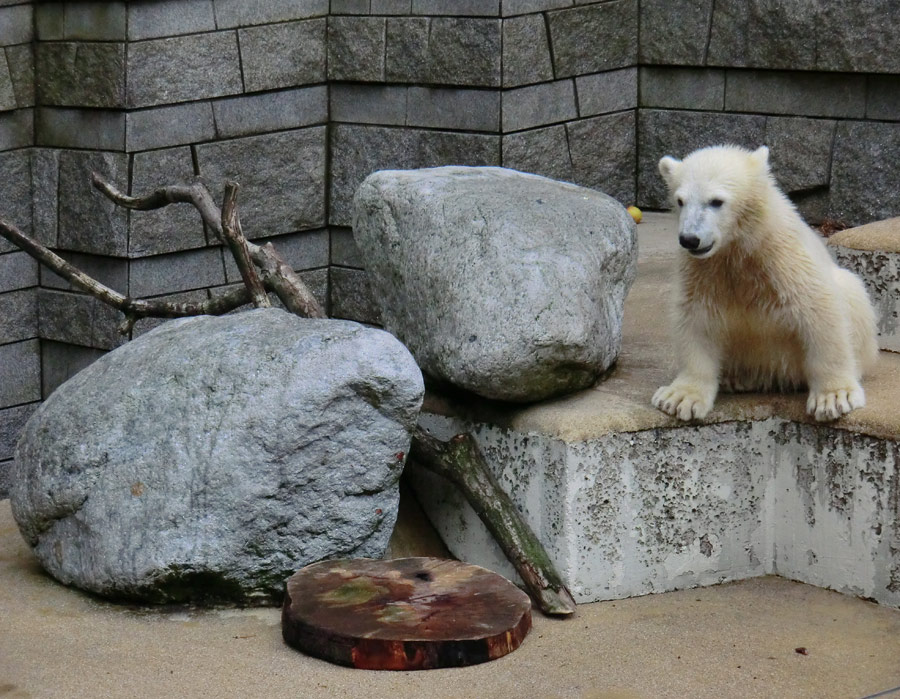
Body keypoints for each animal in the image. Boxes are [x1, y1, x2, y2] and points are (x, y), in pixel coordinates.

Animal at [652, 144, 876, 422]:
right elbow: (695, 318)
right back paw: (735, 378)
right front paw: (679, 398)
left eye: (716, 201)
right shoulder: (703, 270)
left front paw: (834, 397)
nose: (689, 239)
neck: (739, 246)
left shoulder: (782, 257)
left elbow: (818, 309)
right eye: (680, 201)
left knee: (852, 290)